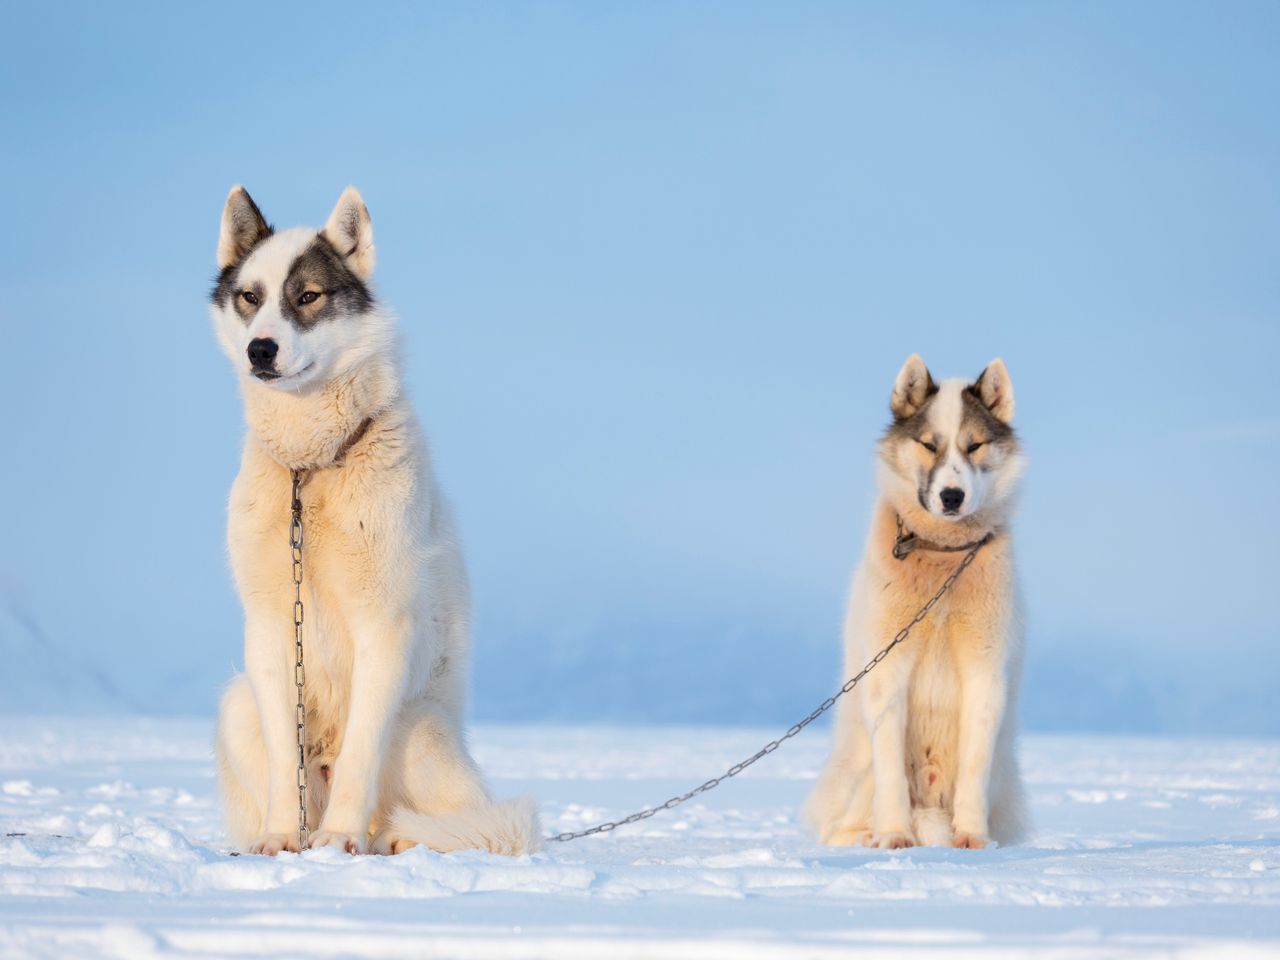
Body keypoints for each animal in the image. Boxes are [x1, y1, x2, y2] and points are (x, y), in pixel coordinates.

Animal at [211, 185, 540, 855]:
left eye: (308, 296)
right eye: (250, 298)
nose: (261, 349)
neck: (312, 467)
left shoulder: (383, 625)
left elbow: (361, 756)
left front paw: (336, 839)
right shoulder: (271, 626)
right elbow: (284, 761)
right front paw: (281, 837)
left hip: (418, 727)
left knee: (443, 819)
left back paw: (389, 839)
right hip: (236, 704)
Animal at [808, 355, 1029, 849]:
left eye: (974, 445)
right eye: (929, 445)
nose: (951, 496)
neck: (942, 556)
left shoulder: (984, 671)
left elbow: (974, 767)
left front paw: (972, 838)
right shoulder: (887, 671)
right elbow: (891, 769)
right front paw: (894, 835)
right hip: (858, 767)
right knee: (838, 825)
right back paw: (869, 835)